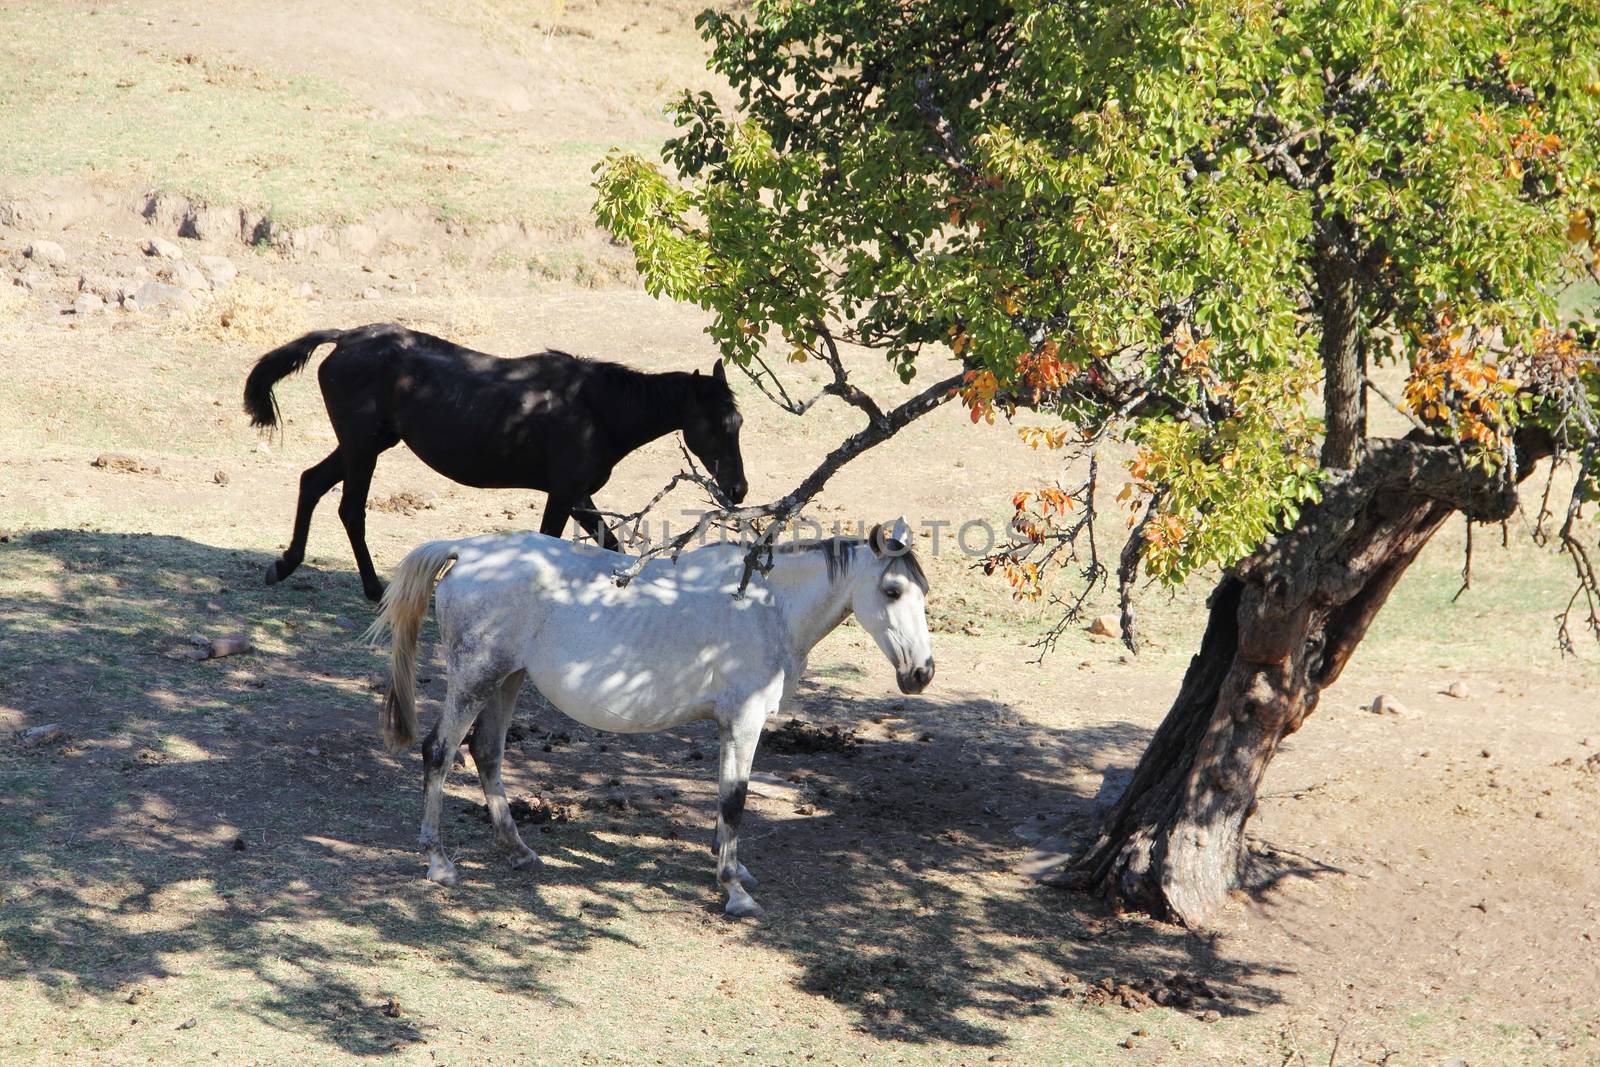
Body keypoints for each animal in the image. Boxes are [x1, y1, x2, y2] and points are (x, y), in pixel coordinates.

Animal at [243, 321, 748, 601]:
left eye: (738, 420)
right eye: (716, 424)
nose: (738, 489)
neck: (596, 409)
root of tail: (345, 339)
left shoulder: (578, 497)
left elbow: (611, 548)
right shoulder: (566, 494)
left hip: (364, 445)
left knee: (311, 482)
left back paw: (285, 566)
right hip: (362, 448)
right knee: (350, 509)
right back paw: (372, 589)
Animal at [366, 518, 934, 921]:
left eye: (921, 594)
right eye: (891, 592)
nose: (922, 673)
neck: (765, 605)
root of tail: (468, 550)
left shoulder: (730, 726)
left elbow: (726, 798)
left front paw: (731, 866)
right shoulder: (744, 720)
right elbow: (735, 800)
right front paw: (733, 890)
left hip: (507, 680)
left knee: (487, 754)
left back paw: (519, 850)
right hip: (476, 681)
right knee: (439, 752)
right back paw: (438, 862)